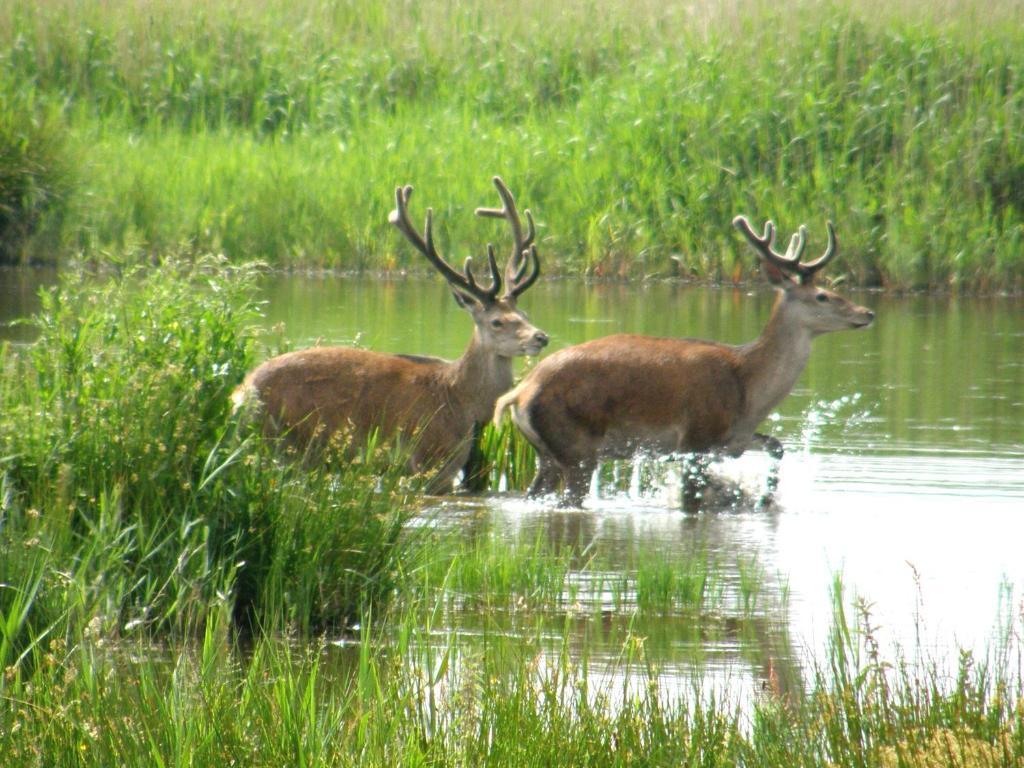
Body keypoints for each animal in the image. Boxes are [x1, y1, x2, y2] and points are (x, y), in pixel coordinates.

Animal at [235, 178, 548, 493]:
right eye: (497, 322)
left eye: (524, 314)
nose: (541, 337)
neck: (460, 399)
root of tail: (242, 392)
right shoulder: (430, 460)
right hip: (287, 442)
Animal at [493, 215, 872, 505]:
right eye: (822, 296)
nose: (866, 312)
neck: (748, 389)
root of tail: (519, 393)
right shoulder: (696, 440)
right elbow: (692, 501)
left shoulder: (731, 441)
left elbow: (777, 446)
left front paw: (764, 497)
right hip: (577, 447)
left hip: (547, 455)